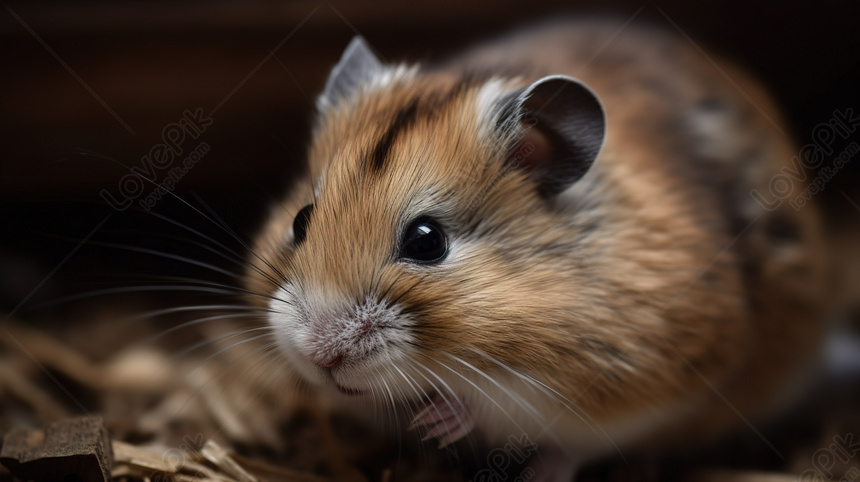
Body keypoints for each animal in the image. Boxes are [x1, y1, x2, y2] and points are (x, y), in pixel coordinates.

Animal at [247, 17, 832, 478]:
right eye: (300, 220)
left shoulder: (633, 371)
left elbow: (515, 407)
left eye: (427, 241)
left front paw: (438, 419)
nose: (319, 358)